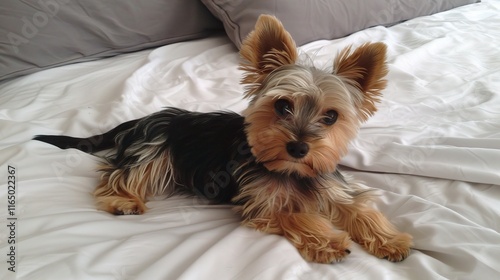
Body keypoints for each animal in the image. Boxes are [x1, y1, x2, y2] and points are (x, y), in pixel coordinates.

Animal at [34, 14, 410, 264]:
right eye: (282, 106)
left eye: (331, 117)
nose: (299, 147)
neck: (291, 171)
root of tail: (144, 119)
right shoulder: (262, 203)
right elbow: (293, 214)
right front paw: (327, 241)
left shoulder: (331, 184)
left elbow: (359, 207)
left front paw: (390, 240)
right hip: (154, 150)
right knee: (118, 174)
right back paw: (122, 200)